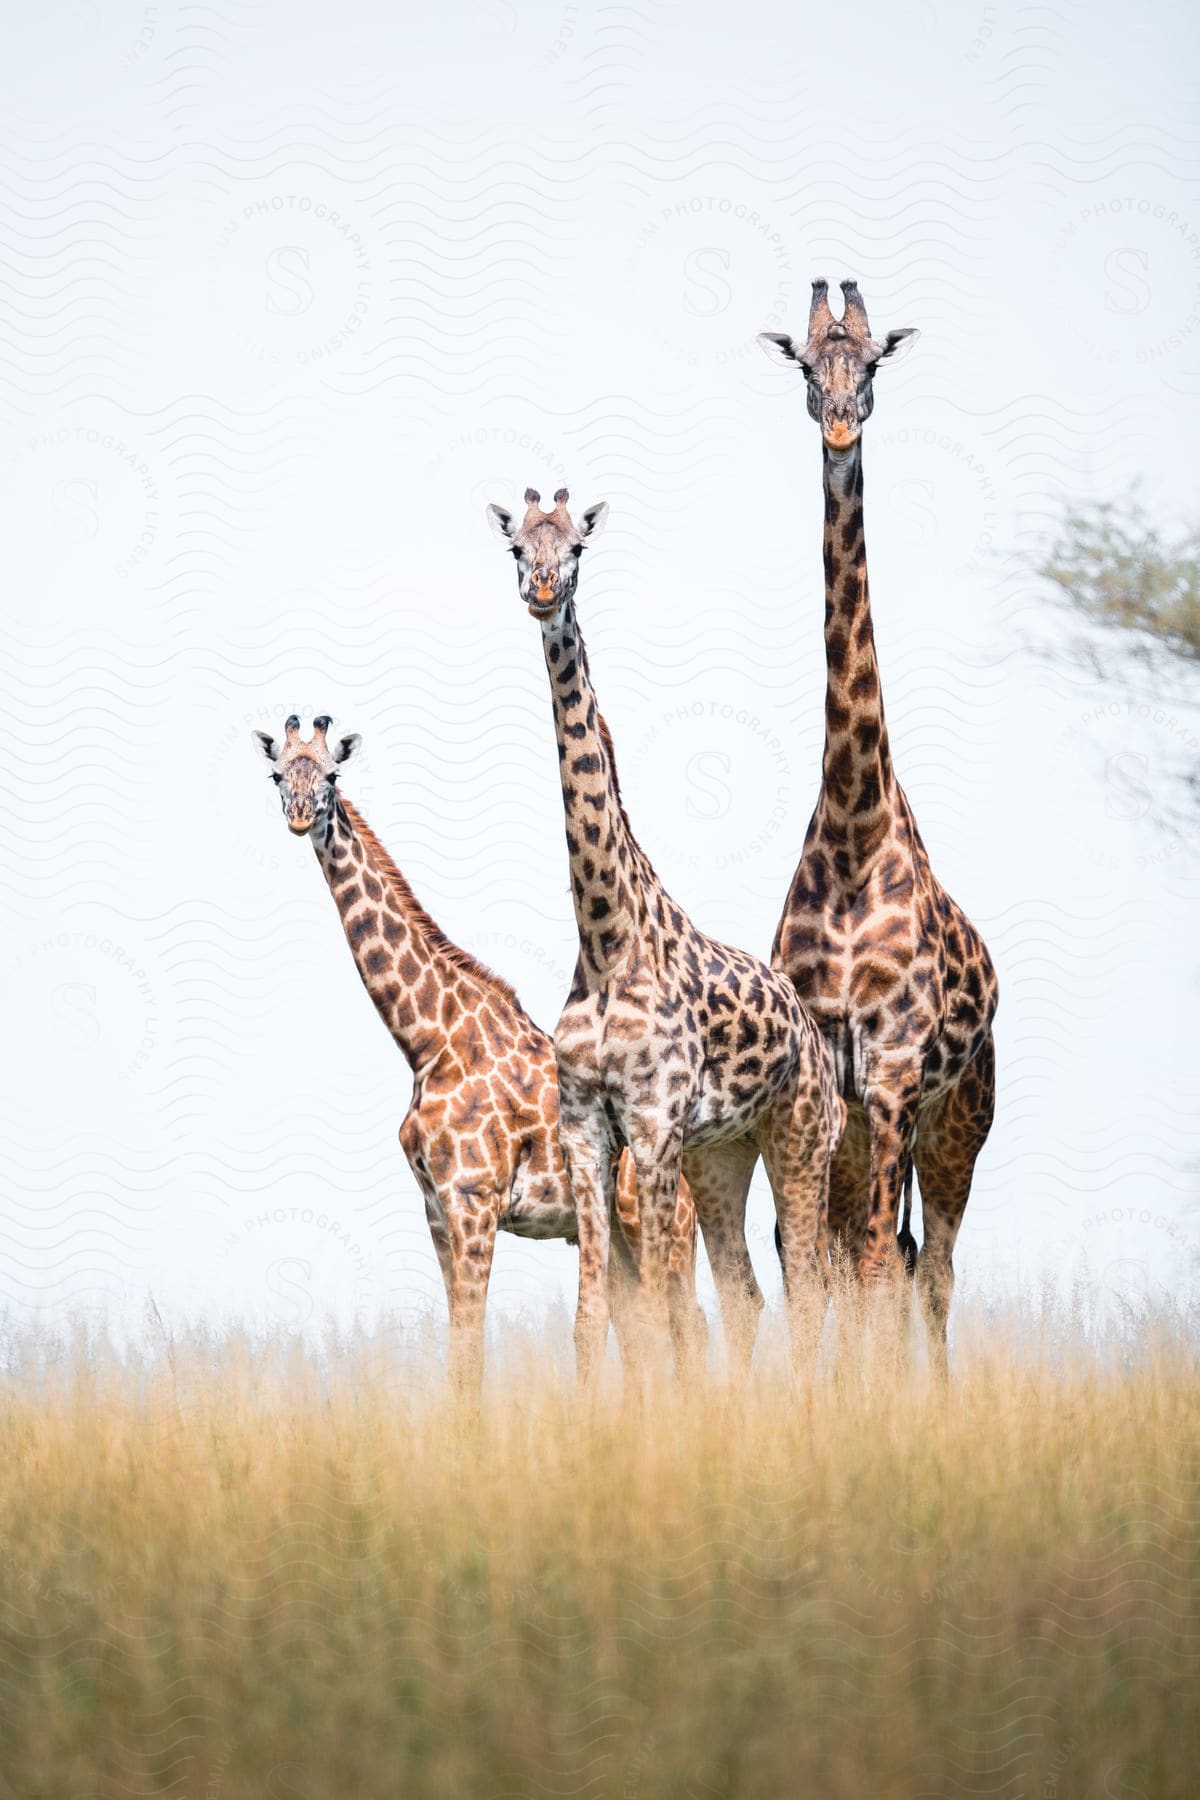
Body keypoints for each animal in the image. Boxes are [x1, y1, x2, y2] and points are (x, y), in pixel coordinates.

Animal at [251, 709, 705, 1382]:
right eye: (278, 773)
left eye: (332, 774)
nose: (302, 815)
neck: (425, 1039)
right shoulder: (438, 1209)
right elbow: (461, 1345)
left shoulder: (473, 1200)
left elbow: (469, 1344)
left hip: (664, 1226)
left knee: (689, 1324)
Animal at [482, 493, 841, 1375]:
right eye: (516, 548)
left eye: (577, 546)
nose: (544, 590)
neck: (607, 939)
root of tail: (816, 1040)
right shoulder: (586, 1129)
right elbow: (596, 1322)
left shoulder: (653, 1125)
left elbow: (660, 1315)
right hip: (723, 1154)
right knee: (748, 1296)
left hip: (800, 1138)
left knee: (810, 1290)